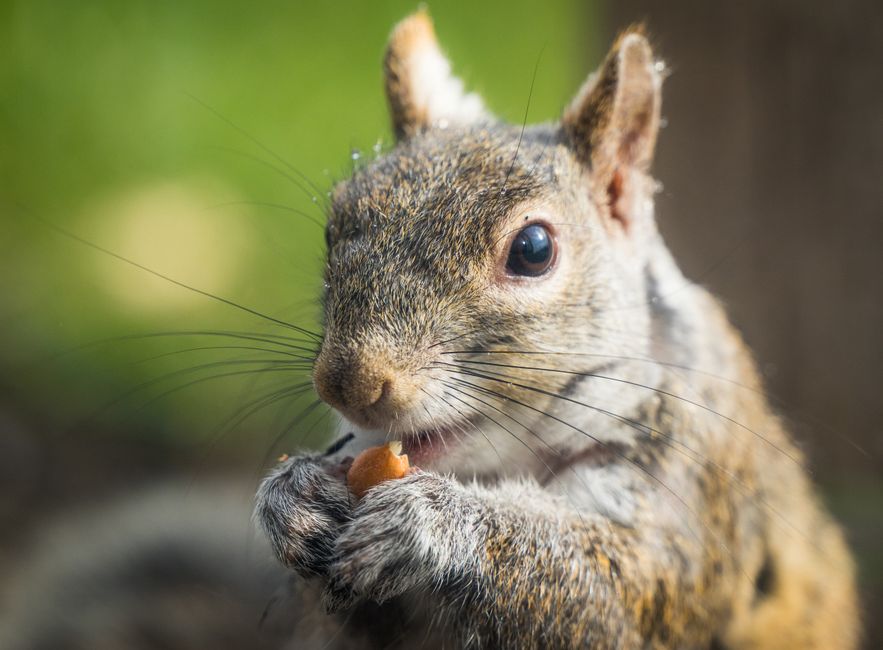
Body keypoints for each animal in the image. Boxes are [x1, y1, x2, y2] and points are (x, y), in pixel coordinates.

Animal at [255, 10, 859, 650]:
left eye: (533, 249)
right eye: (333, 227)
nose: (348, 384)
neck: (502, 466)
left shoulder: (694, 485)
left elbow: (616, 592)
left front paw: (429, 524)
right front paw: (291, 497)